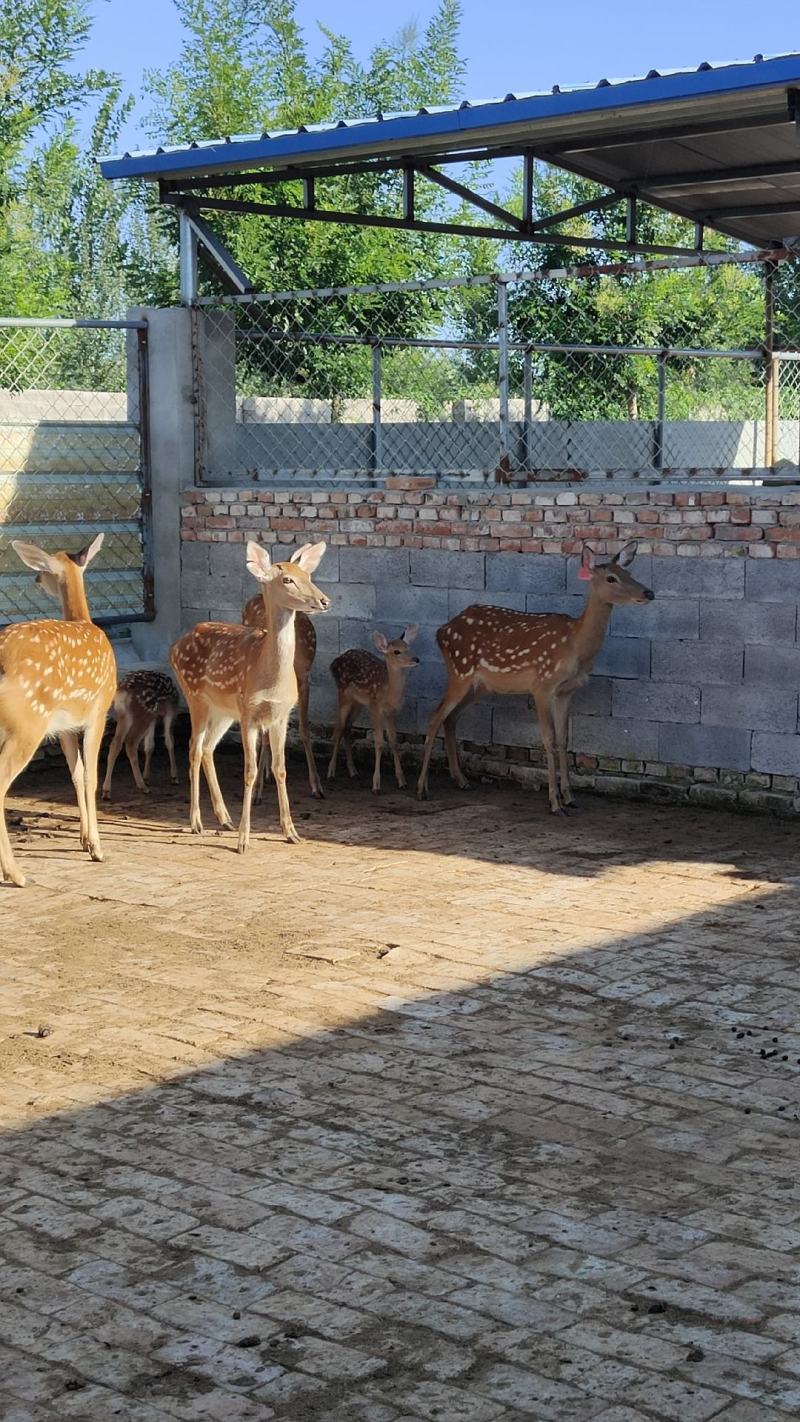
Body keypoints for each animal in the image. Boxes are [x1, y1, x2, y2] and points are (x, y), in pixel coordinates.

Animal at [0, 535, 116, 887]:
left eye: (46, 569)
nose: (36, 579)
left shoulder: (63, 726)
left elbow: (76, 773)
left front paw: (83, 840)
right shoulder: (98, 711)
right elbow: (91, 775)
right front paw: (97, 848)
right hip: (27, 723)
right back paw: (16, 874)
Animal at [102, 670, 179, 800]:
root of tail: (123, 692)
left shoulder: (154, 718)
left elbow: (150, 746)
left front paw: (146, 776)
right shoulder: (170, 711)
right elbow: (169, 742)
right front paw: (174, 777)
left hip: (125, 715)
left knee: (115, 744)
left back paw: (106, 791)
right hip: (144, 714)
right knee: (130, 743)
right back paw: (142, 786)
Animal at [241, 596, 322, 801]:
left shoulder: (305, 677)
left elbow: (305, 730)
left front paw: (316, 786)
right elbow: (266, 736)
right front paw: (257, 791)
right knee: (263, 735)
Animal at [327, 626, 419, 793]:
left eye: (408, 647)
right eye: (396, 651)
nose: (416, 659)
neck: (389, 692)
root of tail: (334, 662)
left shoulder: (391, 712)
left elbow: (394, 742)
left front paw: (402, 781)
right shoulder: (375, 707)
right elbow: (379, 743)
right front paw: (376, 784)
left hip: (358, 702)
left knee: (347, 727)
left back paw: (353, 771)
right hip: (343, 694)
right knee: (339, 729)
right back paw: (331, 772)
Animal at [416, 541, 654, 813]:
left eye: (629, 573)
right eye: (611, 578)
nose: (649, 593)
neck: (575, 647)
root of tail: (441, 631)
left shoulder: (566, 691)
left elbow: (563, 739)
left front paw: (570, 797)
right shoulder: (542, 685)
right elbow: (548, 739)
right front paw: (554, 803)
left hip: (481, 685)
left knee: (451, 718)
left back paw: (462, 780)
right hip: (459, 671)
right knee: (435, 717)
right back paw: (422, 789)